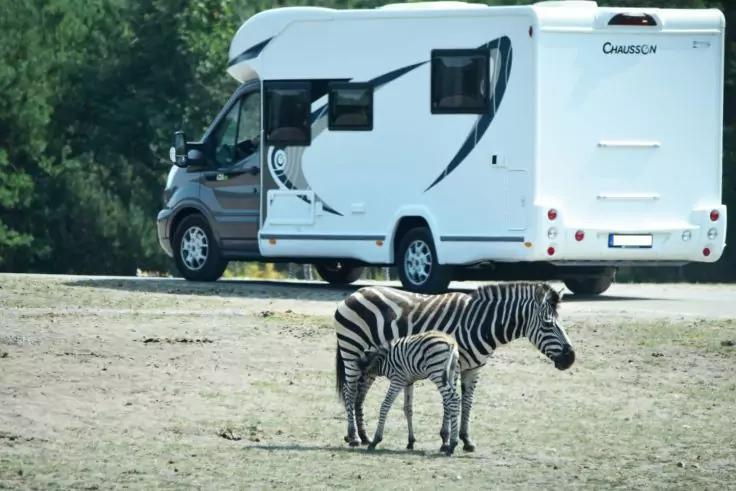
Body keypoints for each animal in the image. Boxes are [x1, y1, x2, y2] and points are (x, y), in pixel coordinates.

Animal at [335, 281, 575, 451]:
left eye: (561, 323)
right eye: (548, 325)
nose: (571, 357)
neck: (480, 324)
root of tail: (355, 293)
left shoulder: (474, 368)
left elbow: (467, 402)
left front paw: (465, 439)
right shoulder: (454, 364)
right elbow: (450, 401)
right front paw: (446, 439)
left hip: (368, 362)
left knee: (359, 395)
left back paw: (364, 436)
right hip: (351, 350)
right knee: (350, 391)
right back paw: (354, 437)